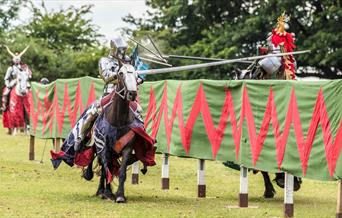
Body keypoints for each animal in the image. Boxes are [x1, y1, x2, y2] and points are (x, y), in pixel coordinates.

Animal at [51, 62, 156, 204]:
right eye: (120, 73)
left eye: (136, 75)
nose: (132, 93)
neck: (117, 120)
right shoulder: (103, 146)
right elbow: (106, 168)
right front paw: (107, 193)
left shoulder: (127, 148)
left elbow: (121, 171)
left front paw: (120, 195)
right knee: (100, 164)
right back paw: (100, 189)